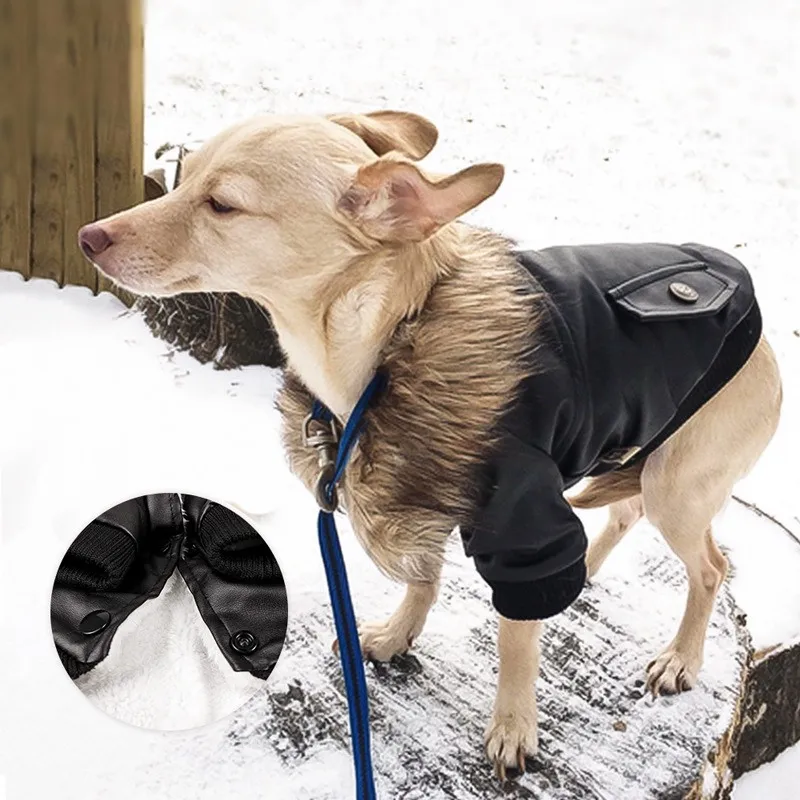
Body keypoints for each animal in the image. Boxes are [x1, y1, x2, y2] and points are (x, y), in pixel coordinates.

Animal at [79, 109, 780, 780]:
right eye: (184, 176)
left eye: (221, 204)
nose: (89, 236)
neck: (389, 337)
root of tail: (765, 341)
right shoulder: (416, 493)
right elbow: (423, 576)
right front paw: (397, 637)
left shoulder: (520, 525)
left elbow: (516, 637)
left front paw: (513, 725)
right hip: (634, 451)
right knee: (626, 513)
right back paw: (592, 572)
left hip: (677, 488)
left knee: (710, 567)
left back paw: (681, 656)